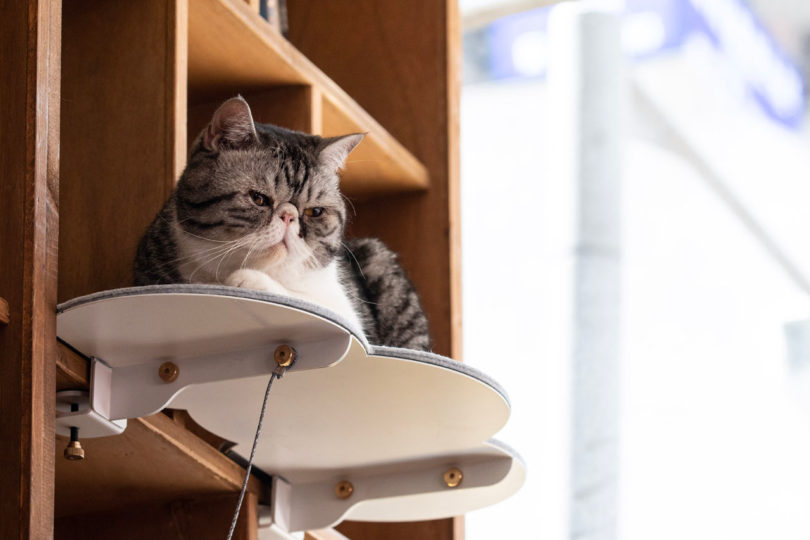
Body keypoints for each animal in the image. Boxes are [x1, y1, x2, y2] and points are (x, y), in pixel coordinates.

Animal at [134, 96, 430, 350]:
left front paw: (248, 280)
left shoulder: (346, 314)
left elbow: (308, 300)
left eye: (314, 212)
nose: (288, 216)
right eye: (259, 199)